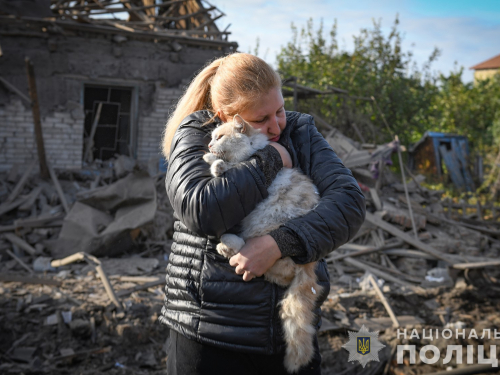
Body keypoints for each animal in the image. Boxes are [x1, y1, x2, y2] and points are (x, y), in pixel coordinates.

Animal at [204, 116, 324, 374]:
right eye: (212, 137)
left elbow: (233, 165)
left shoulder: (247, 161)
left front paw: (217, 165)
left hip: (265, 228)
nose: (208, 144)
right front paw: (210, 158)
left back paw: (226, 244)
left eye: (220, 137)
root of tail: (309, 264)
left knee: (270, 265)